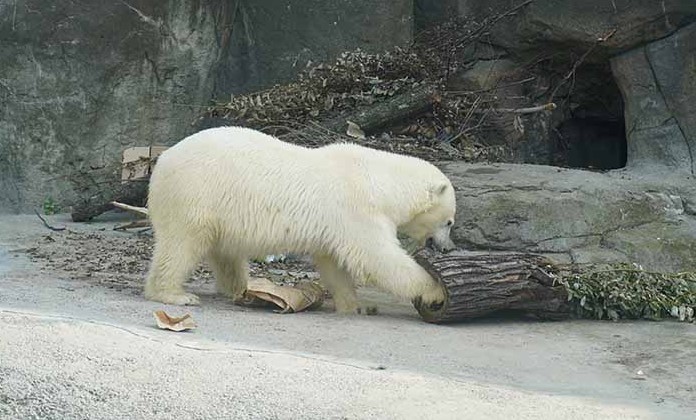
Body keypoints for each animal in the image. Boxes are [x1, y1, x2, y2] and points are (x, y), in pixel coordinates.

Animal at [144, 124, 456, 312]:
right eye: (450, 221)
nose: (447, 247)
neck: (379, 180)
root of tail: (162, 161)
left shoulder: (338, 224)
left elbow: (333, 263)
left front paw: (352, 304)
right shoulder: (356, 209)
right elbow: (378, 259)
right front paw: (435, 291)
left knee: (225, 253)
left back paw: (238, 288)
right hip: (195, 194)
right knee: (181, 244)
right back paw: (174, 294)